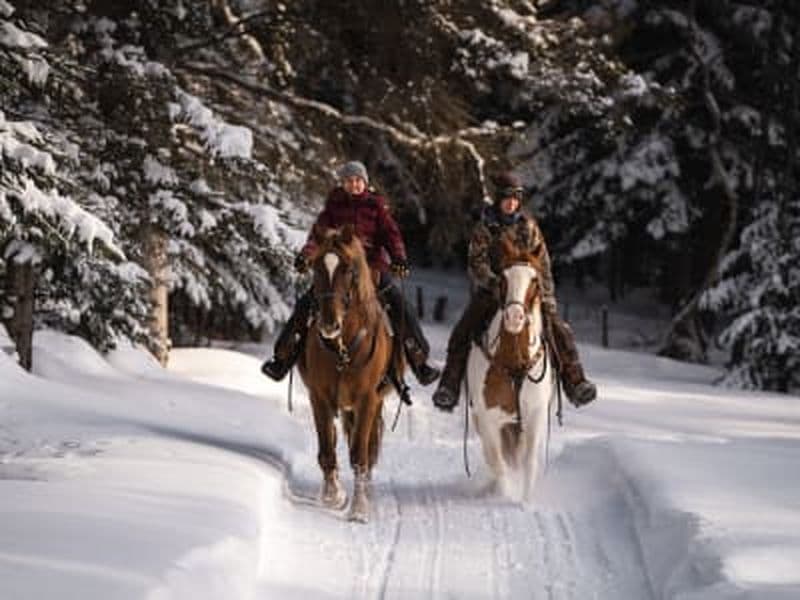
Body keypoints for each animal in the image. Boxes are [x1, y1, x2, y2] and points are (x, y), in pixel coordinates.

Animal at [297, 225, 399, 522]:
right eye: (315, 267)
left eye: (349, 271)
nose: (329, 324)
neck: (343, 348)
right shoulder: (319, 397)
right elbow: (327, 449)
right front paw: (333, 495)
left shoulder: (367, 400)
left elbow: (359, 455)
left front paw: (359, 509)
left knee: (369, 448)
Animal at [466, 234, 556, 501]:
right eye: (503, 278)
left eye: (535, 280)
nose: (515, 317)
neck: (514, 363)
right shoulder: (488, 418)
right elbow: (497, 462)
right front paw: (503, 494)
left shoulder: (534, 415)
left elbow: (529, 462)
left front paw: (526, 502)